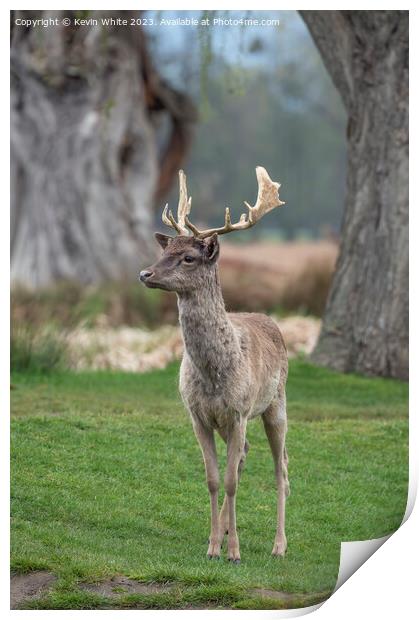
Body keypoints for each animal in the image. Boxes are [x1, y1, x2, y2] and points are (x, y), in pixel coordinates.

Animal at [139, 168, 290, 560]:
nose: (145, 274)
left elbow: (233, 481)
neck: (214, 373)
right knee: (245, 455)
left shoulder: (238, 411)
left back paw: (279, 545)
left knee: (280, 468)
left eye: (189, 257)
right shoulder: (198, 413)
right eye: (167, 250)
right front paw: (212, 545)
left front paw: (233, 551)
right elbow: (212, 478)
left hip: (276, 403)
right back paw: (223, 532)